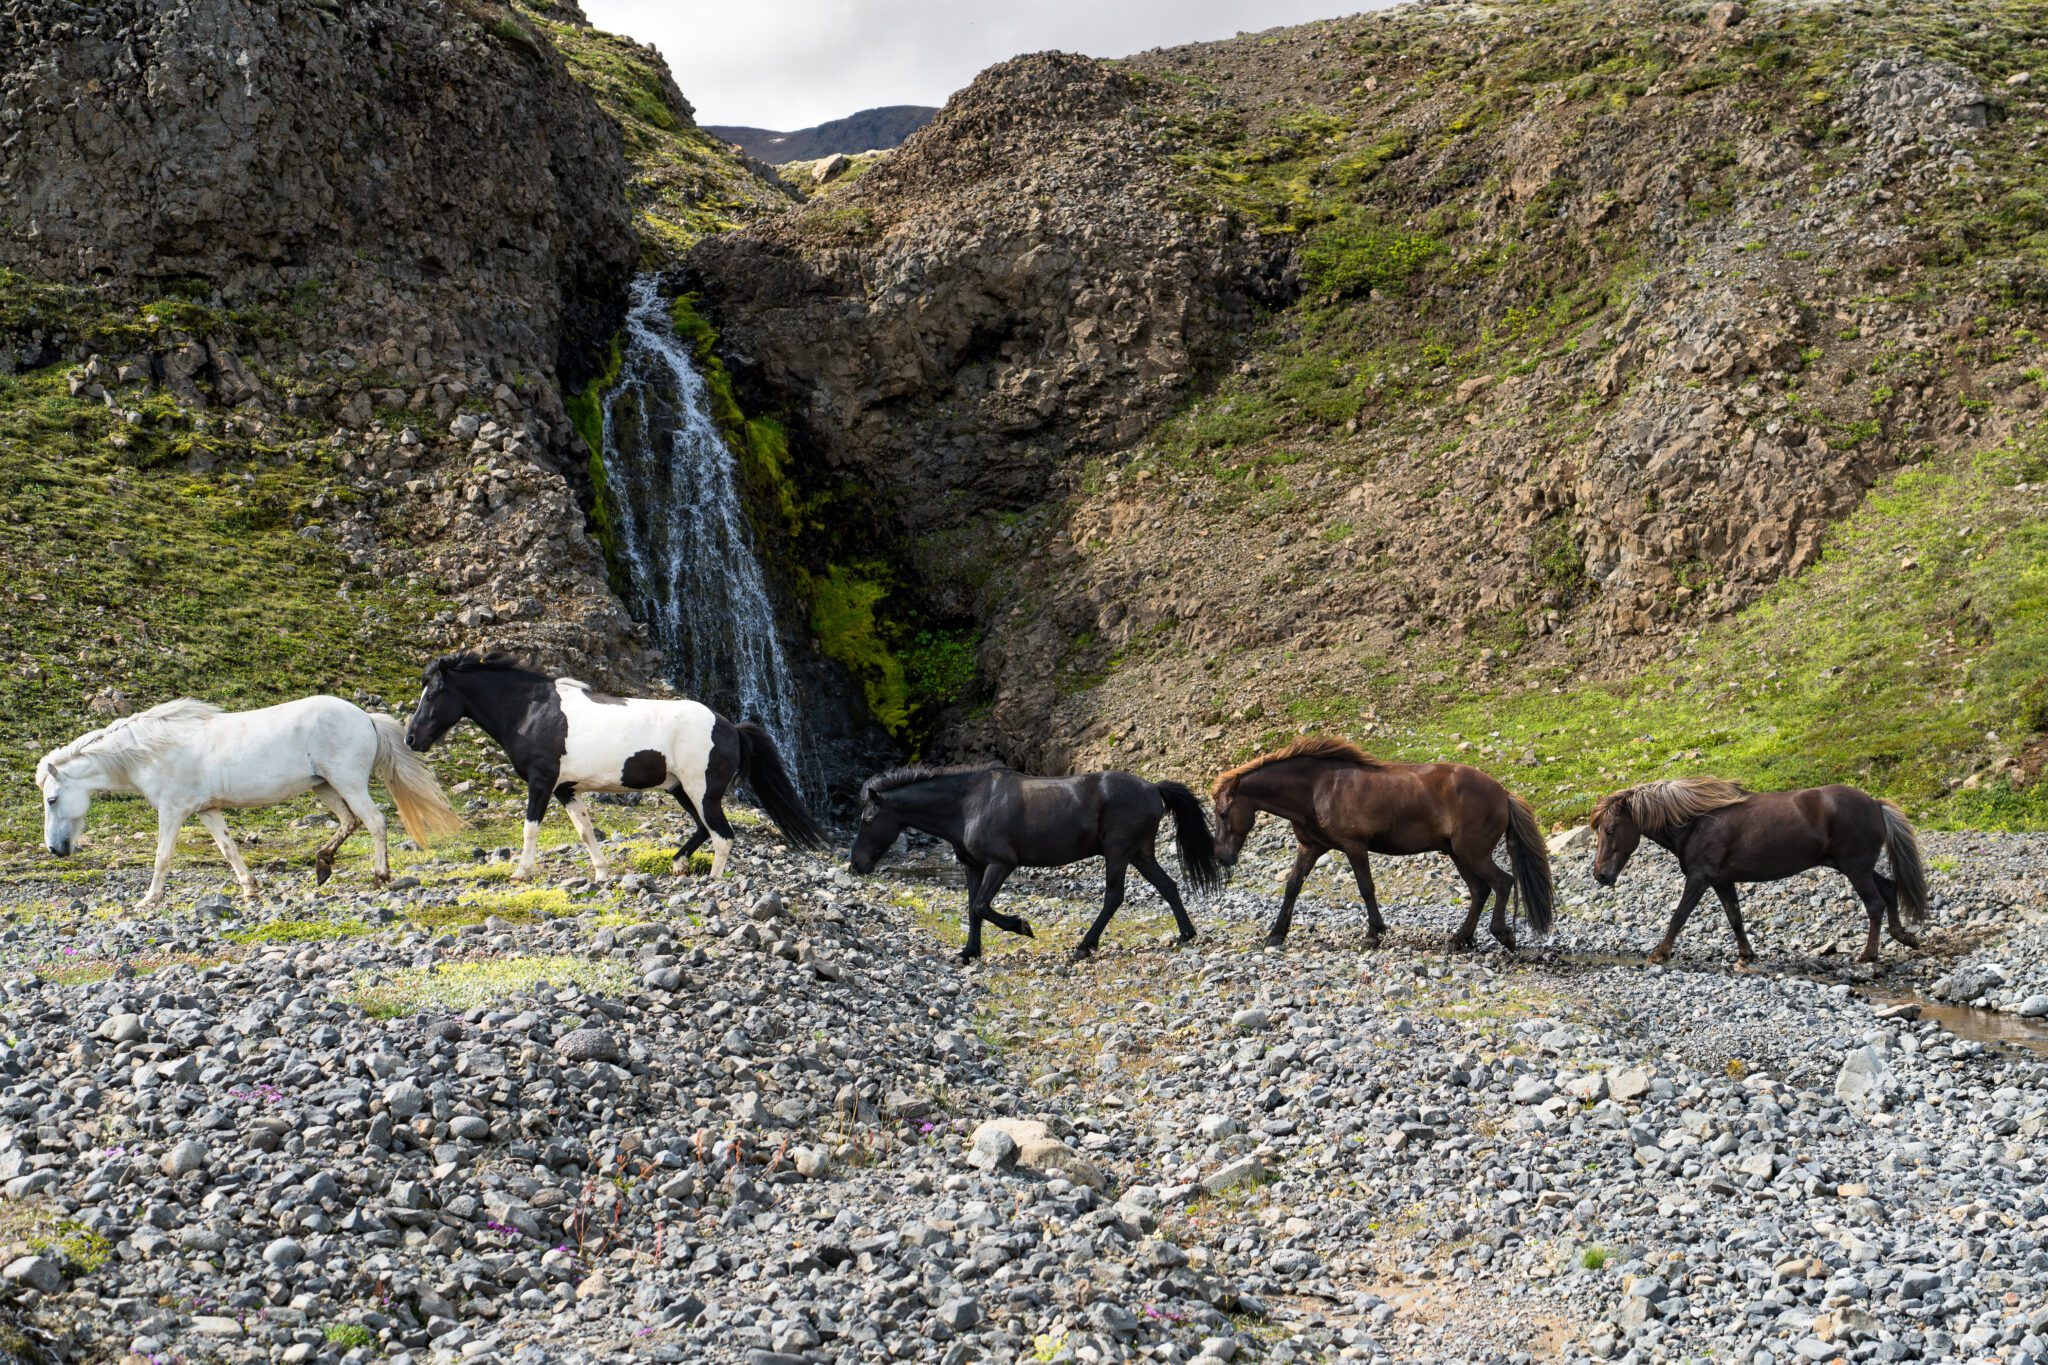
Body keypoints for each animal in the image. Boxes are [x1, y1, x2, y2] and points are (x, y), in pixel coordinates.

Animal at [36, 696, 464, 910]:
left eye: (52, 799)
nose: (55, 850)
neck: (152, 751)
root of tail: (365, 717)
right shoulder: (206, 811)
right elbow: (228, 849)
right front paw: (250, 888)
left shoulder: (172, 811)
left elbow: (162, 857)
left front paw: (149, 899)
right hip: (324, 787)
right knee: (348, 822)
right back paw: (322, 865)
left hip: (348, 782)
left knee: (374, 822)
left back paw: (380, 876)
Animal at [403, 652, 825, 880]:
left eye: (433, 693)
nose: (411, 739)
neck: (530, 710)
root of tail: (731, 727)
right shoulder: (565, 789)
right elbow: (586, 832)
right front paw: (602, 872)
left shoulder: (541, 783)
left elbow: (529, 829)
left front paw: (521, 872)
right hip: (681, 791)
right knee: (703, 830)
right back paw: (677, 865)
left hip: (702, 792)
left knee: (722, 835)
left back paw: (713, 881)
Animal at [847, 764, 1220, 964]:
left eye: (867, 819)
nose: (855, 865)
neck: (967, 805)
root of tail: (1153, 788)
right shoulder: (972, 867)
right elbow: (972, 909)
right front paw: (969, 952)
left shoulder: (1001, 864)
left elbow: (982, 906)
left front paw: (1021, 926)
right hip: (1140, 854)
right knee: (1168, 886)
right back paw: (1186, 934)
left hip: (1118, 853)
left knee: (1114, 897)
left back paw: (1083, 947)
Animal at [1210, 736, 1553, 951]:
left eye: (1223, 812)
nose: (1222, 857)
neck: (1317, 788)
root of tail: (1503, 793)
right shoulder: (1311, 848)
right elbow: (1292, 886)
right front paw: (1276, 934)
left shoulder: (1355, 846)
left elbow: (1366, 888)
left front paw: (1373, 934)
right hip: (1458, 854)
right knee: (1480, 890)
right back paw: (1460, 939)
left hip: (1472, 853)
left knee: (1502, 883)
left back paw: (1502, 934)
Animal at [1590, 777, 1928, 966]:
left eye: (1610, 830)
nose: (1600, 875)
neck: (1697, 822)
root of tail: (1876, 804)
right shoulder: (1722, 881)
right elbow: (1735, 919)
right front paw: (1746, 955)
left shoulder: (1699, 879)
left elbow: (1679, 916)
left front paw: (1660, 953)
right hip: (1856, 867)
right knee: (1889, 888)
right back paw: (1904, 937)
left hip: (1855, 868)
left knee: (1875, 904)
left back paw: (1868, 954)